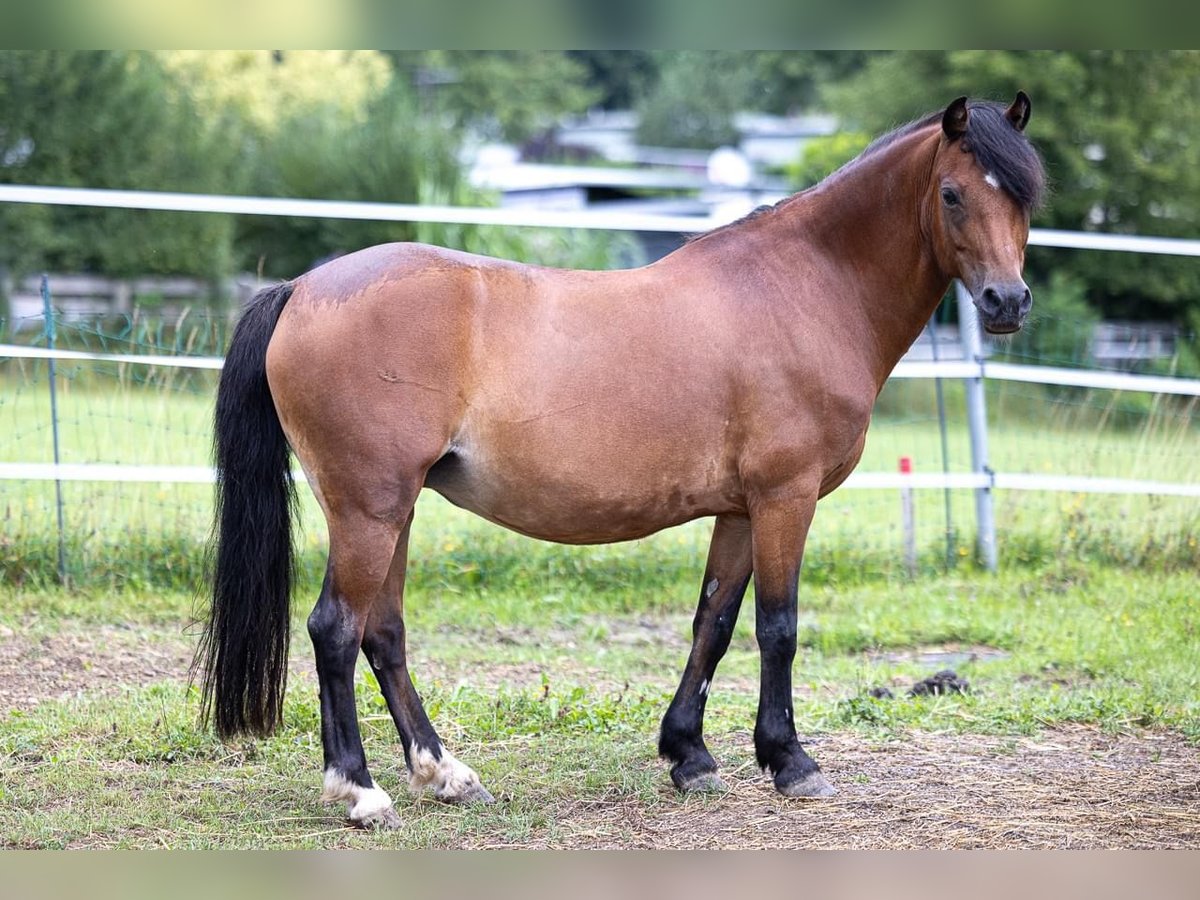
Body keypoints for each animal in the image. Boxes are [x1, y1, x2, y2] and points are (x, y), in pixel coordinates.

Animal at [196, 95, 1041, 830]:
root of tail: (304, 287)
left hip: (392, 510)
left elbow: (714, 622)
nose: (1007, 303)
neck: (806, 288)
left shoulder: (739, 510)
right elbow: (778, 627)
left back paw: (446, 774)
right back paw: (361, 792)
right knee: (336, 630)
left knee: (384, 635)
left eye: (1027, 196)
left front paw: (689, 754)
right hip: (368, 508)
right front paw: (791, 762)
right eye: (953, 194)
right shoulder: (785, 498)